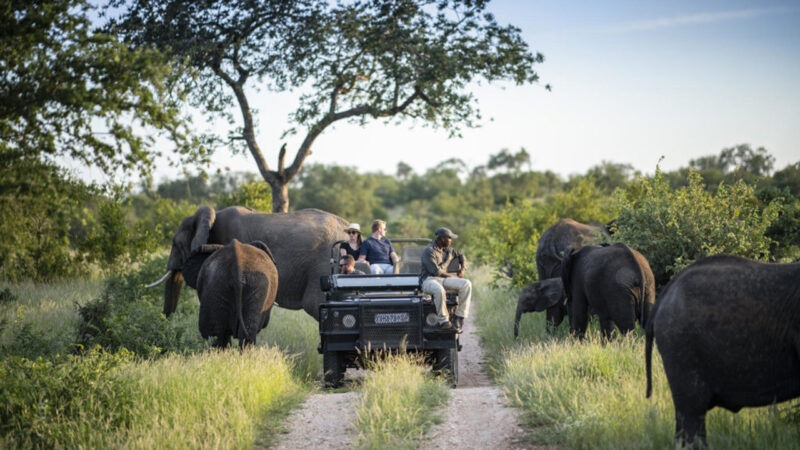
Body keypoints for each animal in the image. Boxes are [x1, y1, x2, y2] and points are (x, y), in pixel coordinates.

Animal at [516, 243, 655, 339]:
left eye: (527, 299)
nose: (516, 339)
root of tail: (638, 267)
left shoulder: (577, 280)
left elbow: (578, 316)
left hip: (621, 290)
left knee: (627, 327)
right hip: (648, 286)